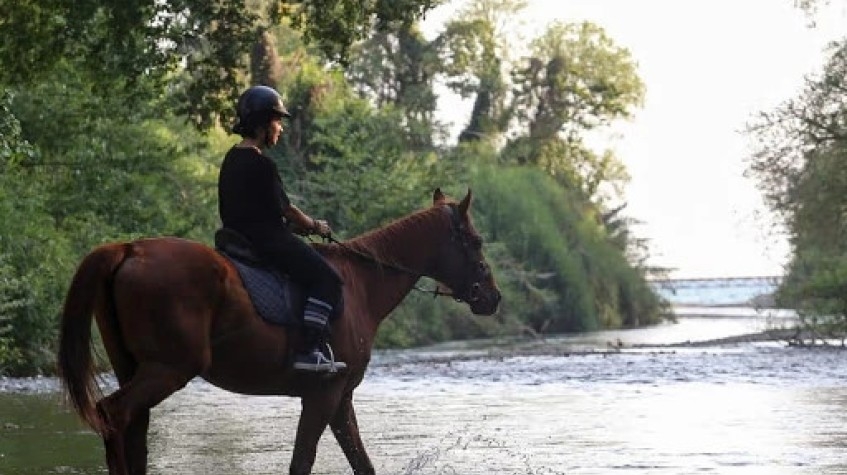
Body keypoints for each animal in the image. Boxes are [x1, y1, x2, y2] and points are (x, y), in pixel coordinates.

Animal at [57, 188, 501, 475]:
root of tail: (130, 248)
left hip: (135, 368)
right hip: (168, 369)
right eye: (476, 241)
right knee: (113, 414)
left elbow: (361, 462)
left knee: (134, 432)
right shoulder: (324, 394)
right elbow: (302, 462)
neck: (361, 284)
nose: (492, 297)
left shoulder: (340, 398)